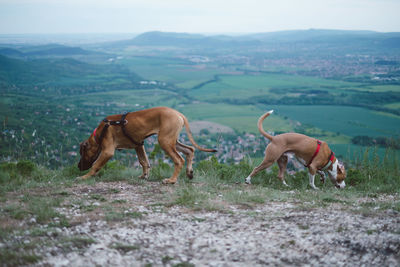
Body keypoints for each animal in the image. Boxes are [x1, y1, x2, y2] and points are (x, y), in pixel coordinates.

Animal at [77, 107, 216, 184]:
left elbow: (95, 165)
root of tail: (179, 114)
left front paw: (85, 177)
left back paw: (171, 180)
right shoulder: (138, 145)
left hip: (164, 141)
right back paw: (189, 172)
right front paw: (144, 175)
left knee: (179, 160)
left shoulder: (107, 152)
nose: (78, 167)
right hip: (172, 141)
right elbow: (143, 161)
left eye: (82, 153)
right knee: (190, 150)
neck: (99, 133)